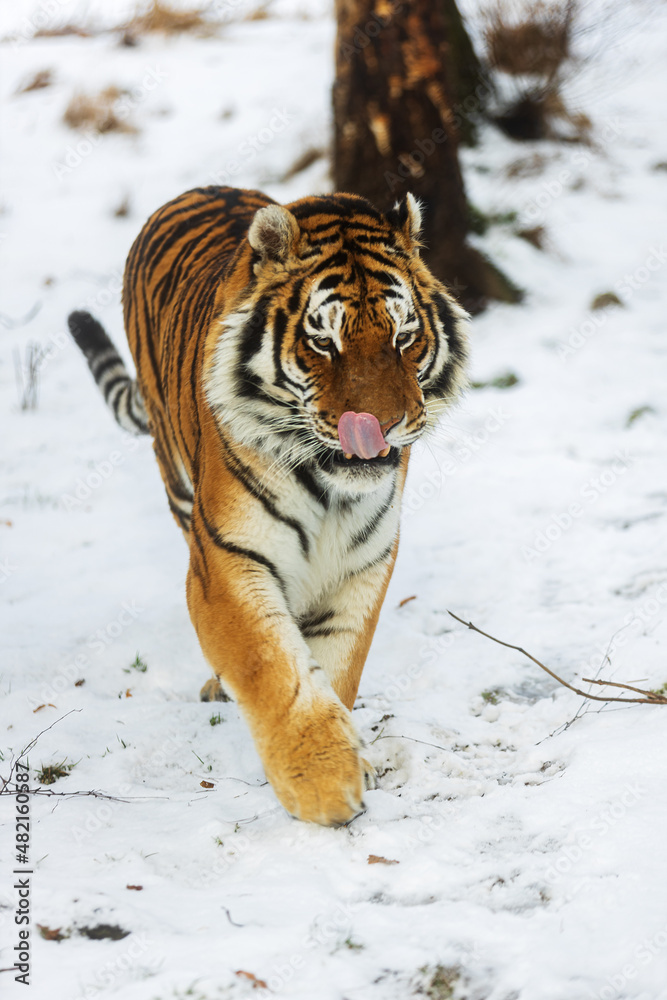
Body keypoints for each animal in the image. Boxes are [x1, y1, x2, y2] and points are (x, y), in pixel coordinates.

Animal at [68, 185, 469, 827]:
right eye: (323, 342)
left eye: (403, 337)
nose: (380, 428)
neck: (330, 489)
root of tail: (195, 190)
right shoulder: (227, 560)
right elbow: (274, 667)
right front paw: (325, 784)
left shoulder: (363, 563)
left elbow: (334, 665)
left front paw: (348, 759)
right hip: (178, 487)